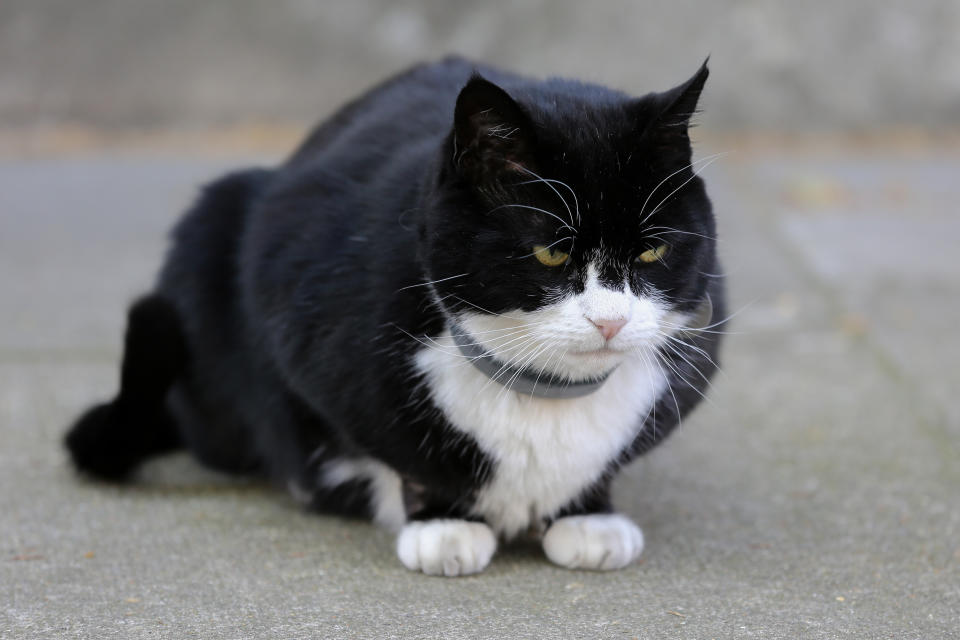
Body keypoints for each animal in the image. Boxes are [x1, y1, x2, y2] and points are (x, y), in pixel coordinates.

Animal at [67, 57, 724, 576]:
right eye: (551, 252)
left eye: (652, 251)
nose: (611, 322)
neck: (545, 394)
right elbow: (399, 446)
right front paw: (441, 524)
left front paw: (588, 515)